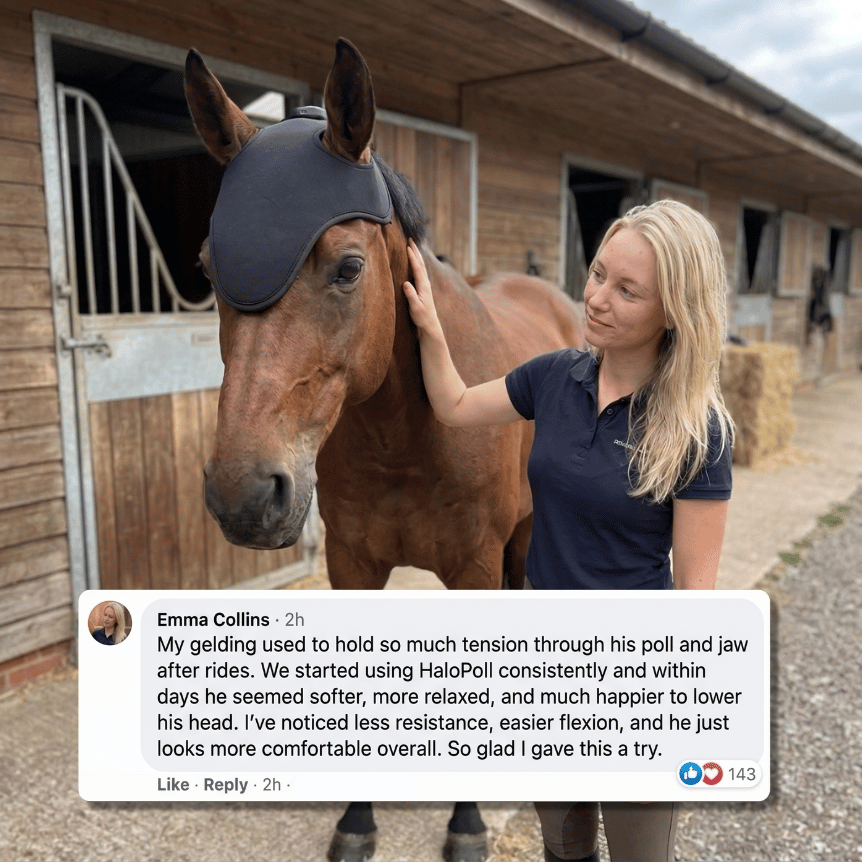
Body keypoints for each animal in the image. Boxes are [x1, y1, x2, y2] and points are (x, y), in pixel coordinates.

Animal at [184, 38, 583, 862]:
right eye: (208, 269)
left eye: (348, 267)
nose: (244, 495)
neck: (409, 437)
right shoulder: (353, 564)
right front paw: (357, 822)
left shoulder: (475, 569)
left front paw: (466, 824)